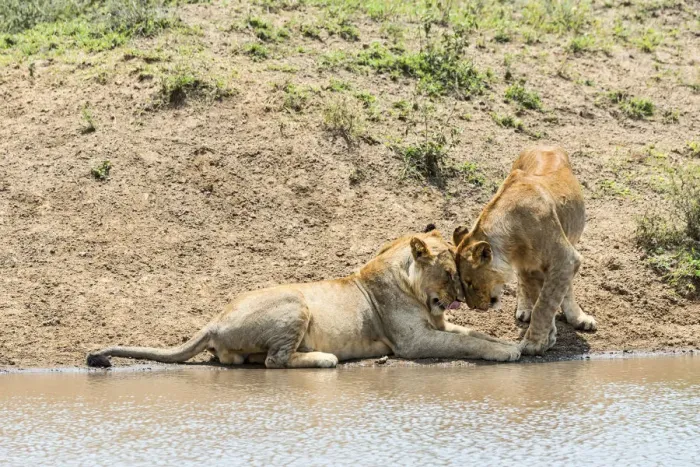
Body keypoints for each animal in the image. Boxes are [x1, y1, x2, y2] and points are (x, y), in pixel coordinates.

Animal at [87, 229, 521, 368]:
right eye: (450, 274)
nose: (461, 296)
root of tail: (214, 320)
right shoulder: (413, 342)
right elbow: (465, 343)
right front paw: (505, 352)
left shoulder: (438, 324)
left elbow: (474, 335)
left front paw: (509, 343)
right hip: (296, 304)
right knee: (276, 361)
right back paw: (324, 359)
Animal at [452, 145, 596, 356]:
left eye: (469, 282)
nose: (474, 307)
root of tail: (544, 144)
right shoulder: (530, 267)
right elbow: (539, 300)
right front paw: (546, 338)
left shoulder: (565, 259)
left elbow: (544, 304)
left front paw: (533, 343)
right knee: (525, 285)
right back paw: (525, 310)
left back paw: (578, 317)